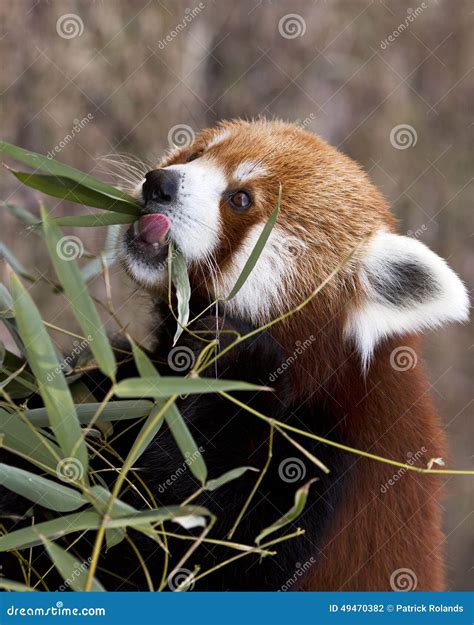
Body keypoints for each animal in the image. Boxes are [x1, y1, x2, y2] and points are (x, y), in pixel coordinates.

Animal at [120, 119, 468, 592]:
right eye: (193, 156)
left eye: (241, 198)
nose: (159, 184)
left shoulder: (321, 465)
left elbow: (205, 545)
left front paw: (235, 356)